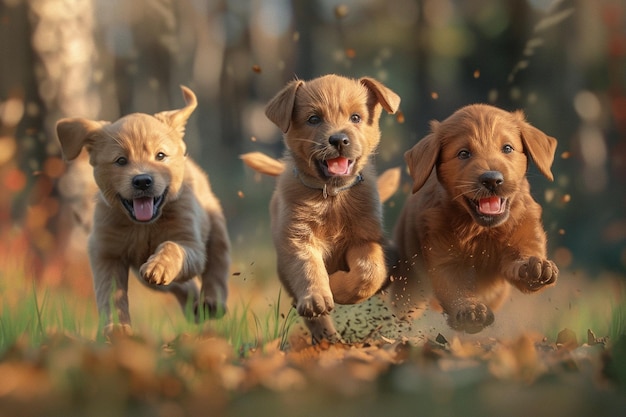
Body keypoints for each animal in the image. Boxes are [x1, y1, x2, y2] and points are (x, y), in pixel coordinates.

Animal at [56, 86, 229, 336]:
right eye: (121, 160)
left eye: (160, 155)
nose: (143, 181)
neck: (143, 227)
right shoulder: (106, 252)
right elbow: (110, 294)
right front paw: (117, 330)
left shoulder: (190, 243)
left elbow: (172, 246)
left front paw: (158, 265)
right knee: (182, 286)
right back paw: (194, 309)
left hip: (215, 227)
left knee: (217, 264)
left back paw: (212, 302)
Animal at [252, 74, 400, 342]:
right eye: (314, 119)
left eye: (356, 117)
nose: (338, 140)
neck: (331, 198)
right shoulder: (299, 239)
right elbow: (308, 268)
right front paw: (317, 297)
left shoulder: (364, 238)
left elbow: (369, 272)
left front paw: (338, 288)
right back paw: (328, 338)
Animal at [392, 105, 560, 334]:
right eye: (464, 153)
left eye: (507, 148)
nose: (492, 179)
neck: (482, 231)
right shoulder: (442, 259)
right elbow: (455, 288)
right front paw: (471, 310)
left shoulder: (524, 233)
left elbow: (524, 256)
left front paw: (538, 268)